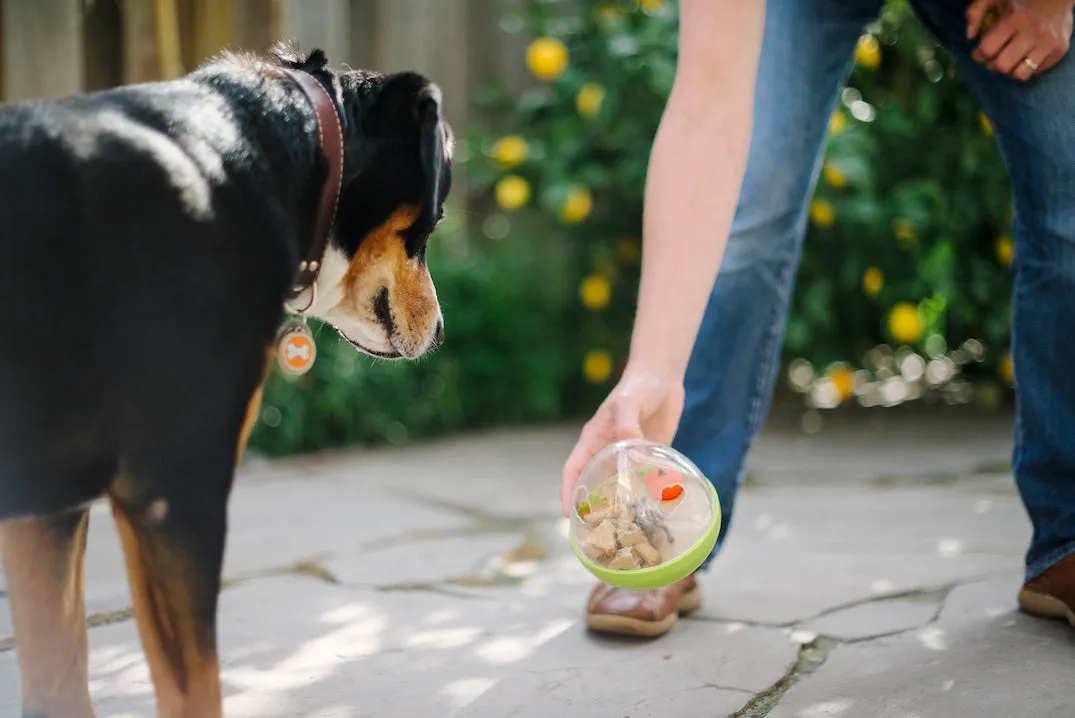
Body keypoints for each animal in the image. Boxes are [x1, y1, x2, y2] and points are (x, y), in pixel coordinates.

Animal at [0, 42, 449, 713]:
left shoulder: (46, 507)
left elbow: (59, 671)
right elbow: (195, 685)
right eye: (436, 217)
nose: (443, 332)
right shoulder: (176, 492)